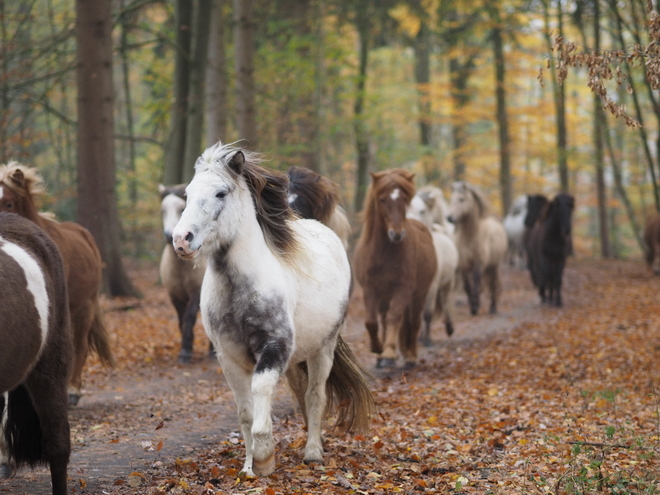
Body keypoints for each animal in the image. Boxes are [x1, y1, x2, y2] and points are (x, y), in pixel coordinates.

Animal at [173, 141, 374, 478]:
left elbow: (262, 390)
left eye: (221, 193)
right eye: (187, 193)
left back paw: (313, 452)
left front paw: (265, 457)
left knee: (315, 394)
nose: (181, 239)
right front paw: (248, 467)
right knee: (301, 393)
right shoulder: (229, 357)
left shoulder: (273, 348)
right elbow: (244, 413)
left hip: (324, 347)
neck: (239, 291)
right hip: (297, 357)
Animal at [354, 170, 436, 368]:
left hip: (419, 293)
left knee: (413, 321)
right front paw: (378, 350)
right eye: (382, 199)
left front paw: (390, 352)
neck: (385, 252)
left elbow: (395, 317)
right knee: (384, 319)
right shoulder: (370, 288)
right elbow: (371, 322)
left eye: (404, 199)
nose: (397, 234)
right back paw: (382, 358)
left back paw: (410, 356)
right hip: (385, 295)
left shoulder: (403, 288)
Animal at [404, 188, 456, 342]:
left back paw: (449, 328)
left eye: (422, 211)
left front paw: (427, 340)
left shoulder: (431, 285)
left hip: (448, 282)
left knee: (445, 302)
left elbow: (427, 313)